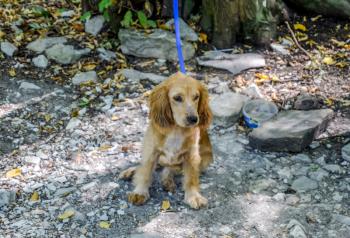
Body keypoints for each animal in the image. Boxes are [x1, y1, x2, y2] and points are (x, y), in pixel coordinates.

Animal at [119, 72, 213, 208]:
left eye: (196, 97)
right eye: (177, 98)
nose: (193, 119)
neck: (176, 129)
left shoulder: (192, 156)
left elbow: (191, 178)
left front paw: (193, 196)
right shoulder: (151, 151)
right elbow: (145, 172)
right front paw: (140, 192)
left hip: (204, 159)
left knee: (171, 169)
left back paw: (167, 180)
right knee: (147, 166)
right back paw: (130, 172)